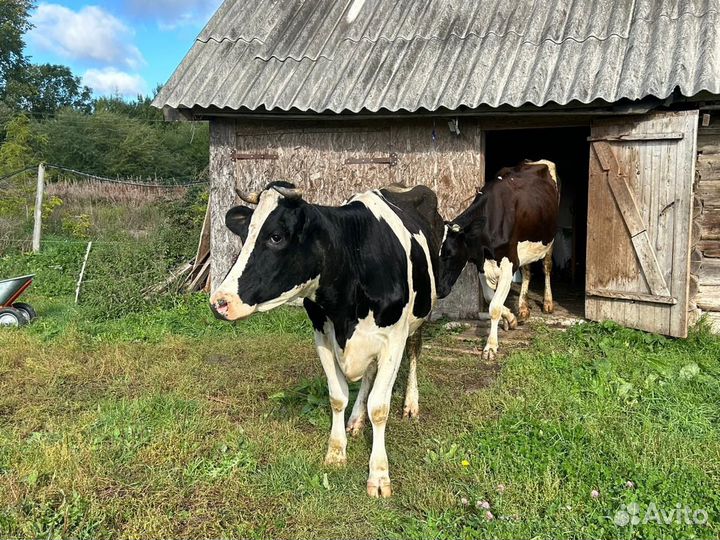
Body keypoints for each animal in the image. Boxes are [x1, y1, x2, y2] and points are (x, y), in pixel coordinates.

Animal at [210, 181, 444, 498]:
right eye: (245, 234)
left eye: (276, 236)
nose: (219, 302)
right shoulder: (322, 334)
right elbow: (338, 397)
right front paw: (336, 452)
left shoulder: (393, 338)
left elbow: (379, 408)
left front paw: (379, 475)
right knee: (368, 374)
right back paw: (356, 420)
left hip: (423, 312)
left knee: (415, 353)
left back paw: (410, 404)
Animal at [437, 160, 560, 359]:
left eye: (450, 253)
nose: (439, 290)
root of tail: (536, 161)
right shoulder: (482, 264)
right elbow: (490, 298)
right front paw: (510, 318)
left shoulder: (508, 263)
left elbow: (494, 306)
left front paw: (491, 346)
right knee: (527, 271)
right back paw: (523, 307)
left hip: (549, 240)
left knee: (546, 267)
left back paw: (548, 302)